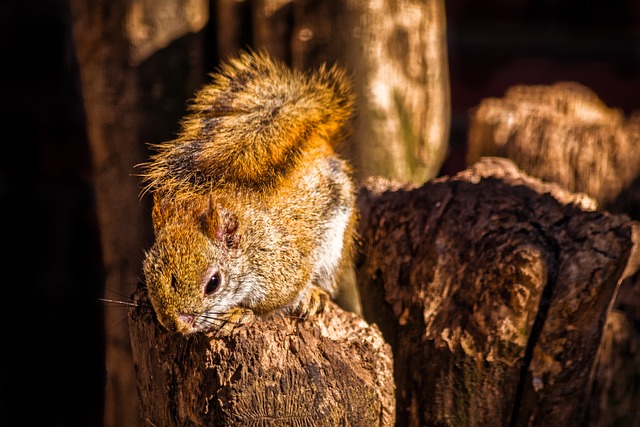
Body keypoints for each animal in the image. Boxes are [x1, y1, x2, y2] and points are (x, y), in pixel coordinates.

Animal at [140, 50, 358, 336]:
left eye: (213, 283)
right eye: (148, 270)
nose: (174, 325)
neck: (252, 245)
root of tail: (318, 142)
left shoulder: (284, 272)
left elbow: (272, 304)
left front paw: (237, 313)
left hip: (336, 242)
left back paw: (314, 295)